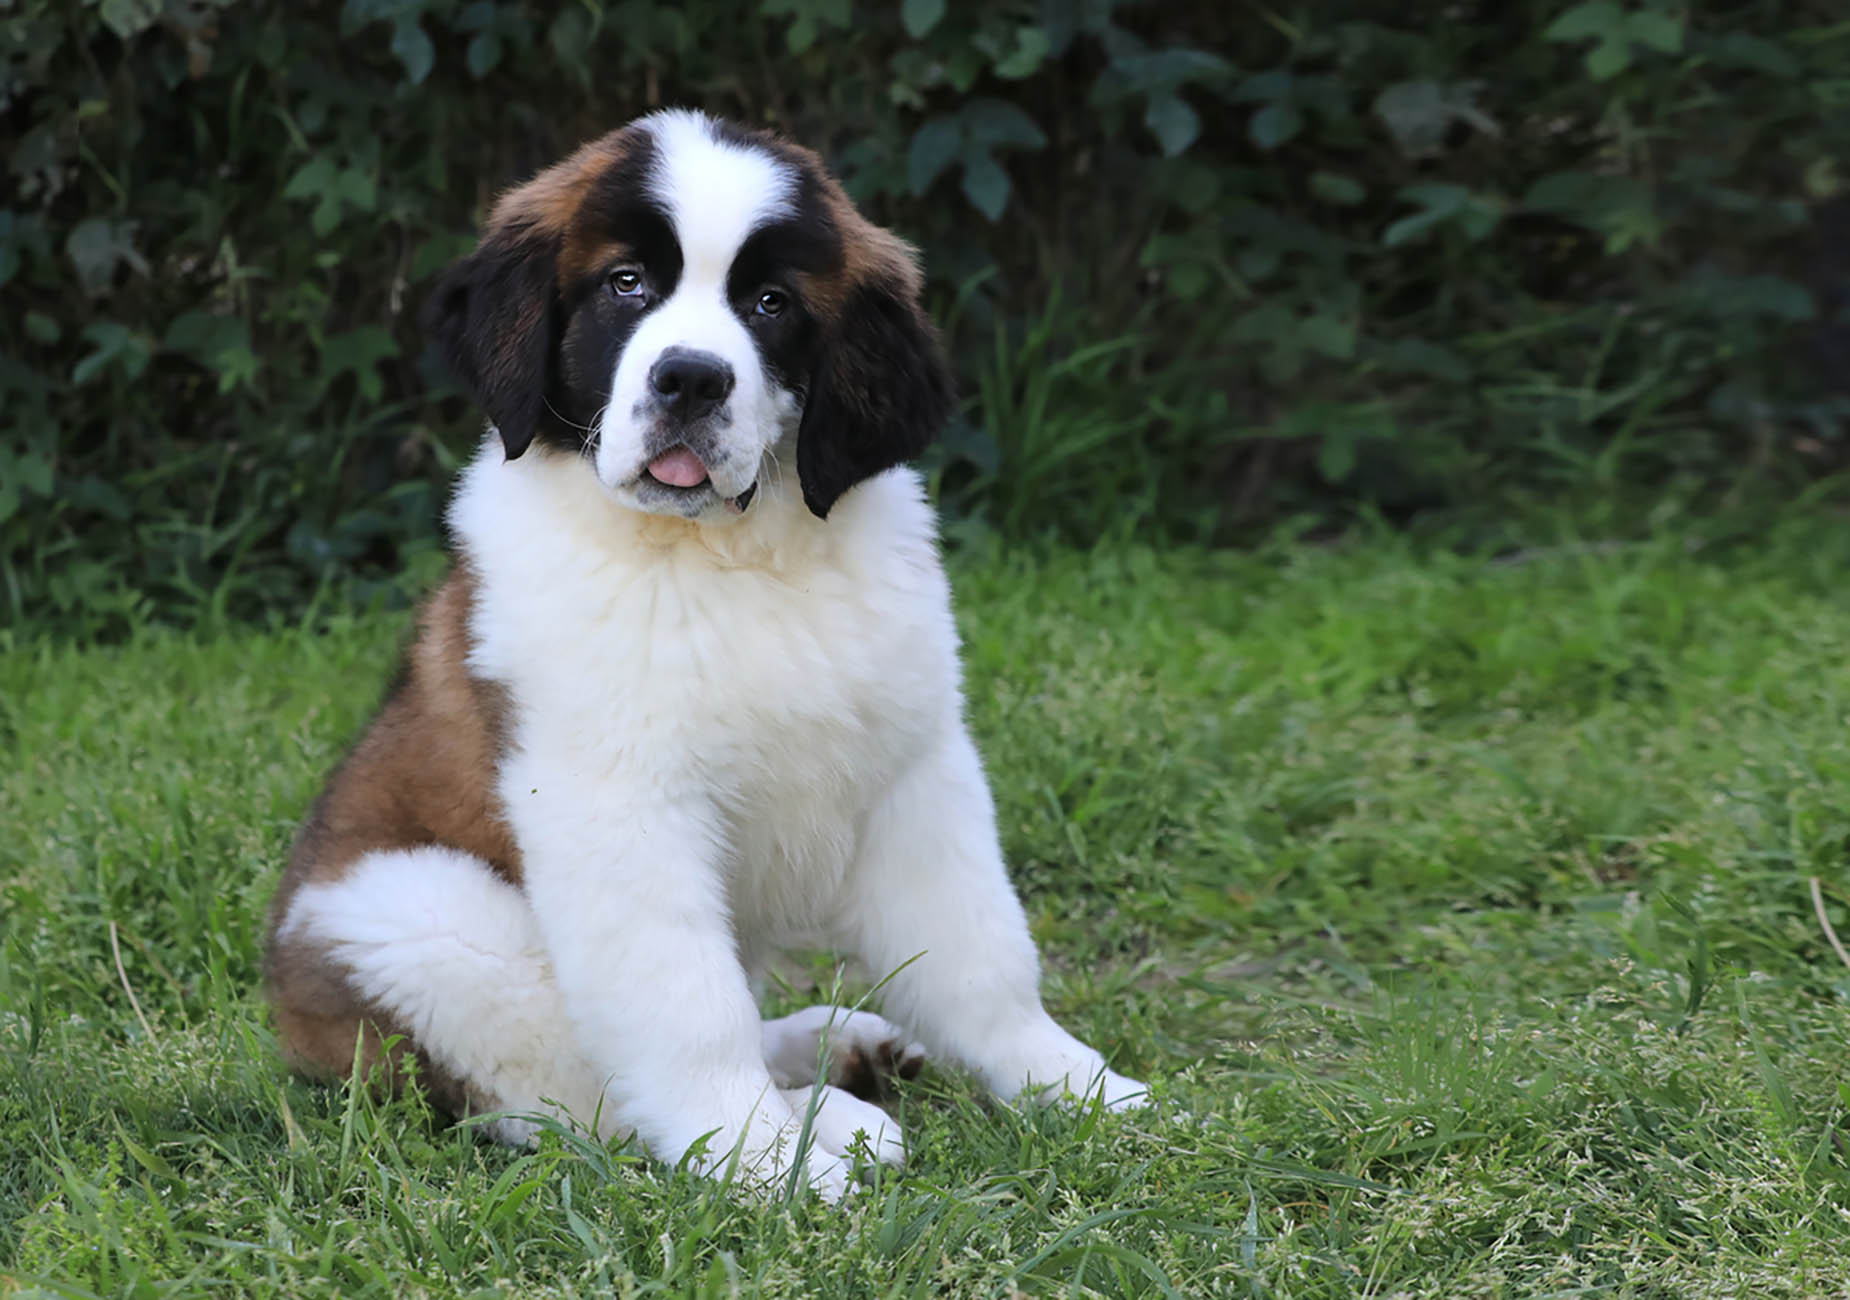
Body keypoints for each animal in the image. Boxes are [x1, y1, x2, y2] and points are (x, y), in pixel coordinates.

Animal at [264, 111, 1139, 1198]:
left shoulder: (915, 769)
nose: (690, 377)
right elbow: (686, 1005)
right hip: (414, 913)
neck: (730, 555)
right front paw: (765, 1163)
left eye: (769, 303)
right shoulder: (619, 809)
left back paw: (837, 1050)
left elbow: (982, 954)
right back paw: (828, 1119)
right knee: (571, 1101)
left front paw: (1075, 1086)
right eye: (626, 283)